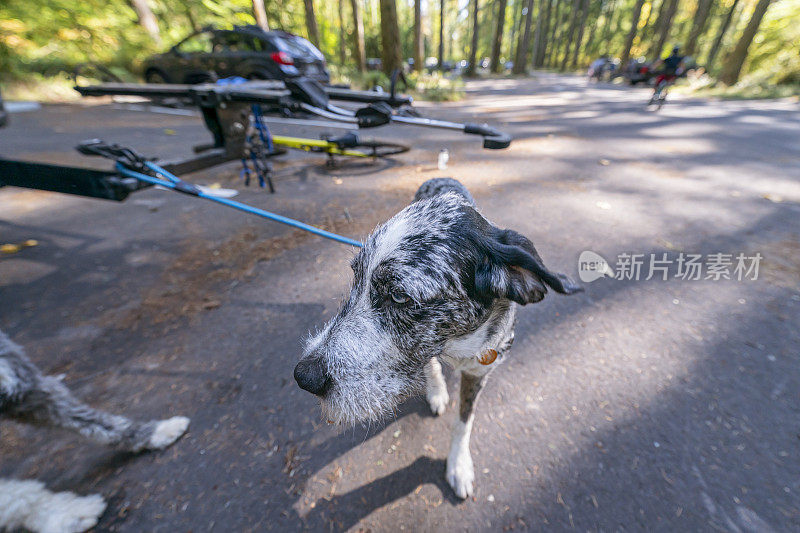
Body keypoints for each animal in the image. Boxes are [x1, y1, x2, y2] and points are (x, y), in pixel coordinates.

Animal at [294, 179, 580, 498]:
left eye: (399, 296)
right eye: (356, 278)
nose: (304, 377)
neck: (456, 344)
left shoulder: (479, 372)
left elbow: (464, 422)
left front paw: (459, 465)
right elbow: (430, 365)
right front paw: (437, 391)